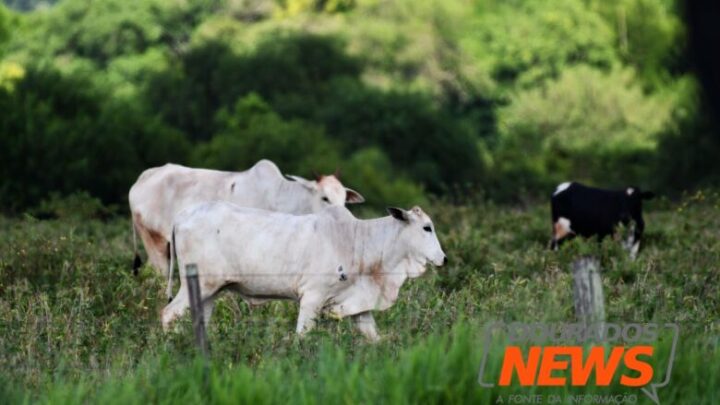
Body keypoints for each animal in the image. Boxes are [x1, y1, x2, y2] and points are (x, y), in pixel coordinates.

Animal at [162, 204, 444, 340]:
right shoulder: (312, 298)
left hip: (210, 291)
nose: (444, 258)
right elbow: (302, 337)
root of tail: (180, 216)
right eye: (427, 227)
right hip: (198, 285)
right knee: (168, 314)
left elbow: (375, 337)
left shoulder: (357, 305)